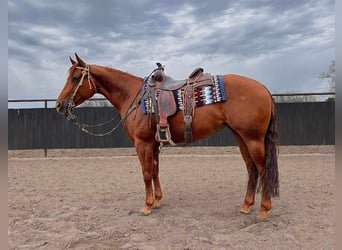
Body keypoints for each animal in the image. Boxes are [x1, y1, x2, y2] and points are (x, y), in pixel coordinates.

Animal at [54, 53, 278, 219]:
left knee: (261, 168)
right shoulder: (153, 144)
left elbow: (146, 173)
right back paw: (246, 205)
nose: (59, 104)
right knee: (251, 169)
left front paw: (146, 205)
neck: (133, 96)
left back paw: (264, 209)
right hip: (241, 138)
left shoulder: (142, 144)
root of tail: (264, 88)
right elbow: (155, 171)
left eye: (75, 78)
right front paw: (158, 200)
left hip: (253, 139)